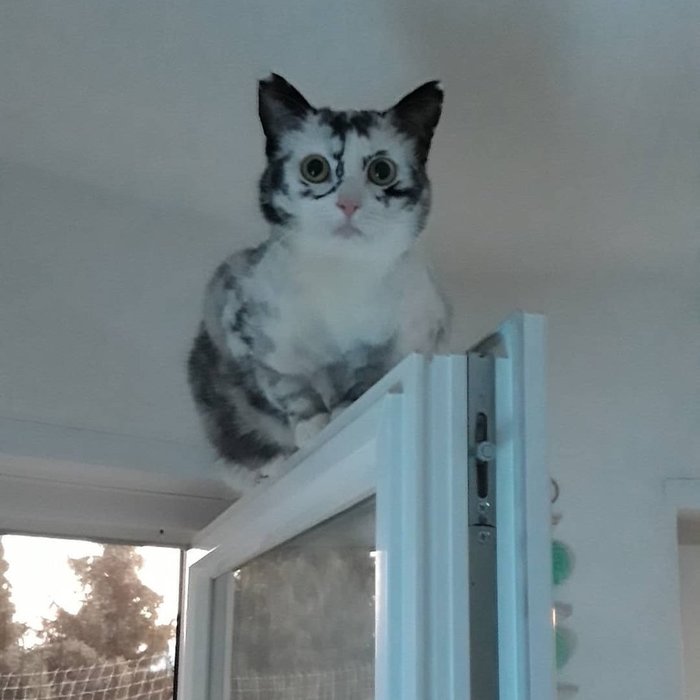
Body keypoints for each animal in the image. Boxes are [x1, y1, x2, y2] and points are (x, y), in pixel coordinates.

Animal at [188, 74, 450, 493]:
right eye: (315, 168)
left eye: (382, 171)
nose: (348, 203)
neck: (341, 276)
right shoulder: (243, 322)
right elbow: (288, 387)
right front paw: (312, 423)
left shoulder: (418, 328)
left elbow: (366, 374)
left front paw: (346, 405)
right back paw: (269, 466)